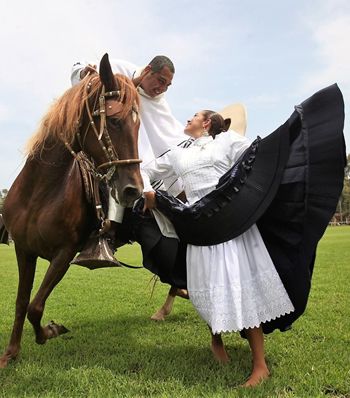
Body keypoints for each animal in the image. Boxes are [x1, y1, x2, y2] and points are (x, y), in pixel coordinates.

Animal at [0, 54, 142, 368]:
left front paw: (49, 331)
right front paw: (11, 352)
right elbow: (21, 301)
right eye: (115, 121)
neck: (40, 191)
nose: (133, 190)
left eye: (139, 127)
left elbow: (36, 306)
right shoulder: (23, 250)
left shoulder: (64, 254)